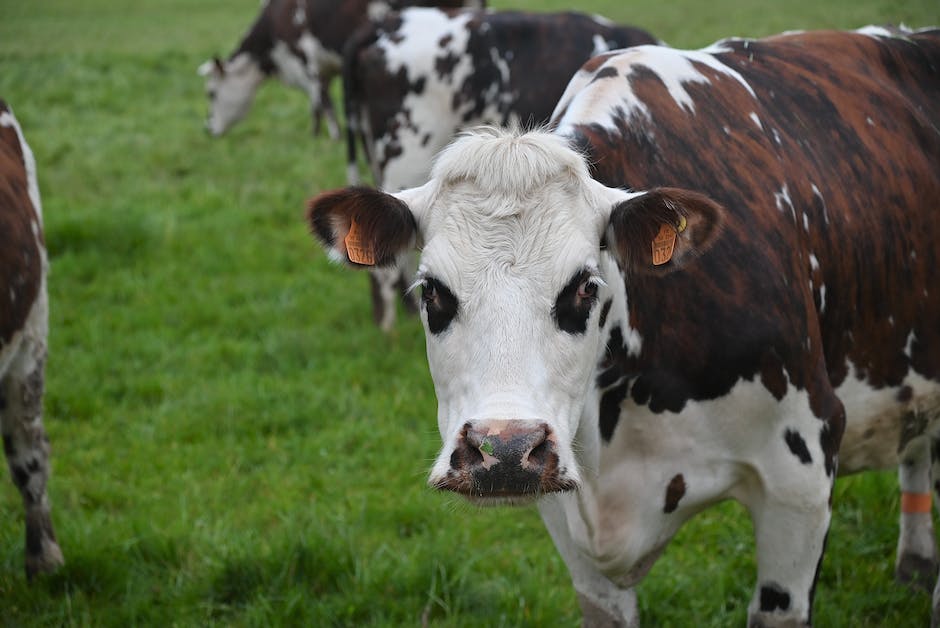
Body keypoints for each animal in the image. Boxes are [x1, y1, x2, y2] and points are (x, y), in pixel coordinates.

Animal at [202, 0, 488, 139]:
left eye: (211, 93)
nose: (209, 129)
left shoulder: (306, 59)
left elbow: (323, 102)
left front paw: (331, 136)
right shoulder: (324, 67)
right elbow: (317, 103)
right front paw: (316, 133)